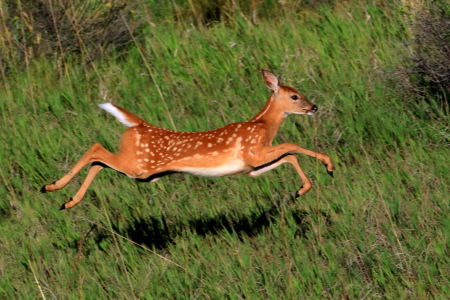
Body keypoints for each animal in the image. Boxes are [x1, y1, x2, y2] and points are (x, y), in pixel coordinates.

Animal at [39, 69, 334, 211]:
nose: (314, 107)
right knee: (96, 149)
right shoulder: (252, 151)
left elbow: (289, 155)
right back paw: (50, 187)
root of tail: (139, 125)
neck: (262, 125)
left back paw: (66, 201)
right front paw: (329, 165)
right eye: (294, 96)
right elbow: (291, 146)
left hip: (142, 172)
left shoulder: (252, 168)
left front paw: (301, 190)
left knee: (99, 162)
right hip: (139, 164)